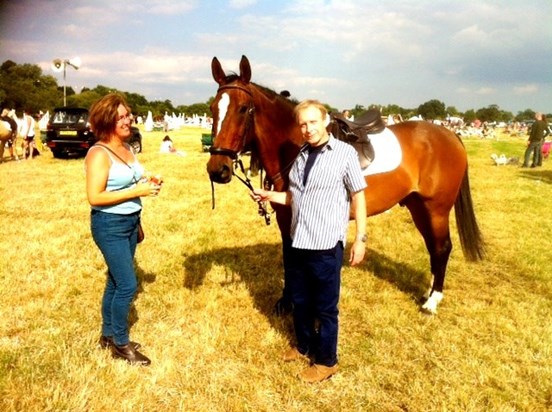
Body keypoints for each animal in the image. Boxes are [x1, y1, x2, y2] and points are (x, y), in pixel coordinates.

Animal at [206, 54, 484, 312]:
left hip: (437, 208)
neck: (297, 147)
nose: (217, 170)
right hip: (419, 206)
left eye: (243, 108)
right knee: (433, 246)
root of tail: (450, 134)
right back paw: (429, 290)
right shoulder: (287, 219)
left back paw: (433, 300)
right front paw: (287, 302)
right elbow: (289, 258)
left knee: (442, 247)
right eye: (212, 109)